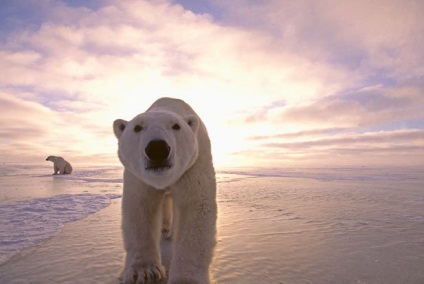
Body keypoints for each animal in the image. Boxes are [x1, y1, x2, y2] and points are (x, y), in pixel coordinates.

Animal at [112, 98, 217, 284]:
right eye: (137, 127)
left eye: (176, 126)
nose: (157, 148)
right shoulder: (138, 175)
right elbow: (141, 206)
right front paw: (144, 272)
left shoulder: (194, 163)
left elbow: (196, 205)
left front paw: (186, 279)